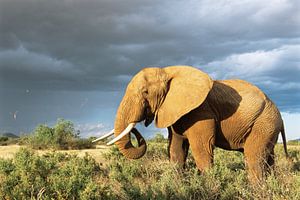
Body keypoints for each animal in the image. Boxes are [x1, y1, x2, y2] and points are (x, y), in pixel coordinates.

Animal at [94, 65, 288, 183]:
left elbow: (201, 148)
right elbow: (176, 148)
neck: (167, 72)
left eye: (145, 92)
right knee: (268, 158)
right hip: (268, 126)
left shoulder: (201, 112)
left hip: (264, 123)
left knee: (253, 158)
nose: (140, 122)